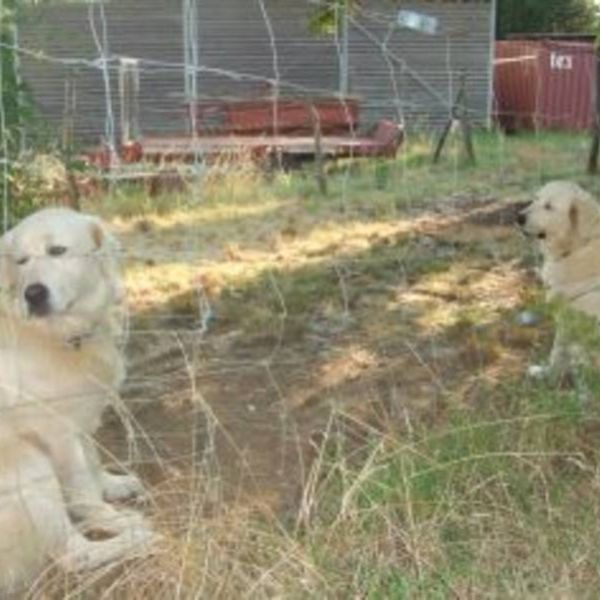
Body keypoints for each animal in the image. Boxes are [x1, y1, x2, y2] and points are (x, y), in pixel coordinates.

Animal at [0, 209, 157, 592]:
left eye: (57, 251)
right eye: (21, 262)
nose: (33, 293)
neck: (56, 335)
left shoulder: (81, 420)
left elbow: (94, 462)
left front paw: (113, 486)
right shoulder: (58, 434)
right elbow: (85, 489)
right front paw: (111, 517)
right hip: (29, 464)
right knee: (75, 556)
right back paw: (133, 536)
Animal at [516, 178, 600, 376]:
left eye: (549, 207)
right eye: (536, 199)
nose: (519, 217)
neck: (576, 246)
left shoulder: (567, 317)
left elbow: (557, 352)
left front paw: (546, 373)